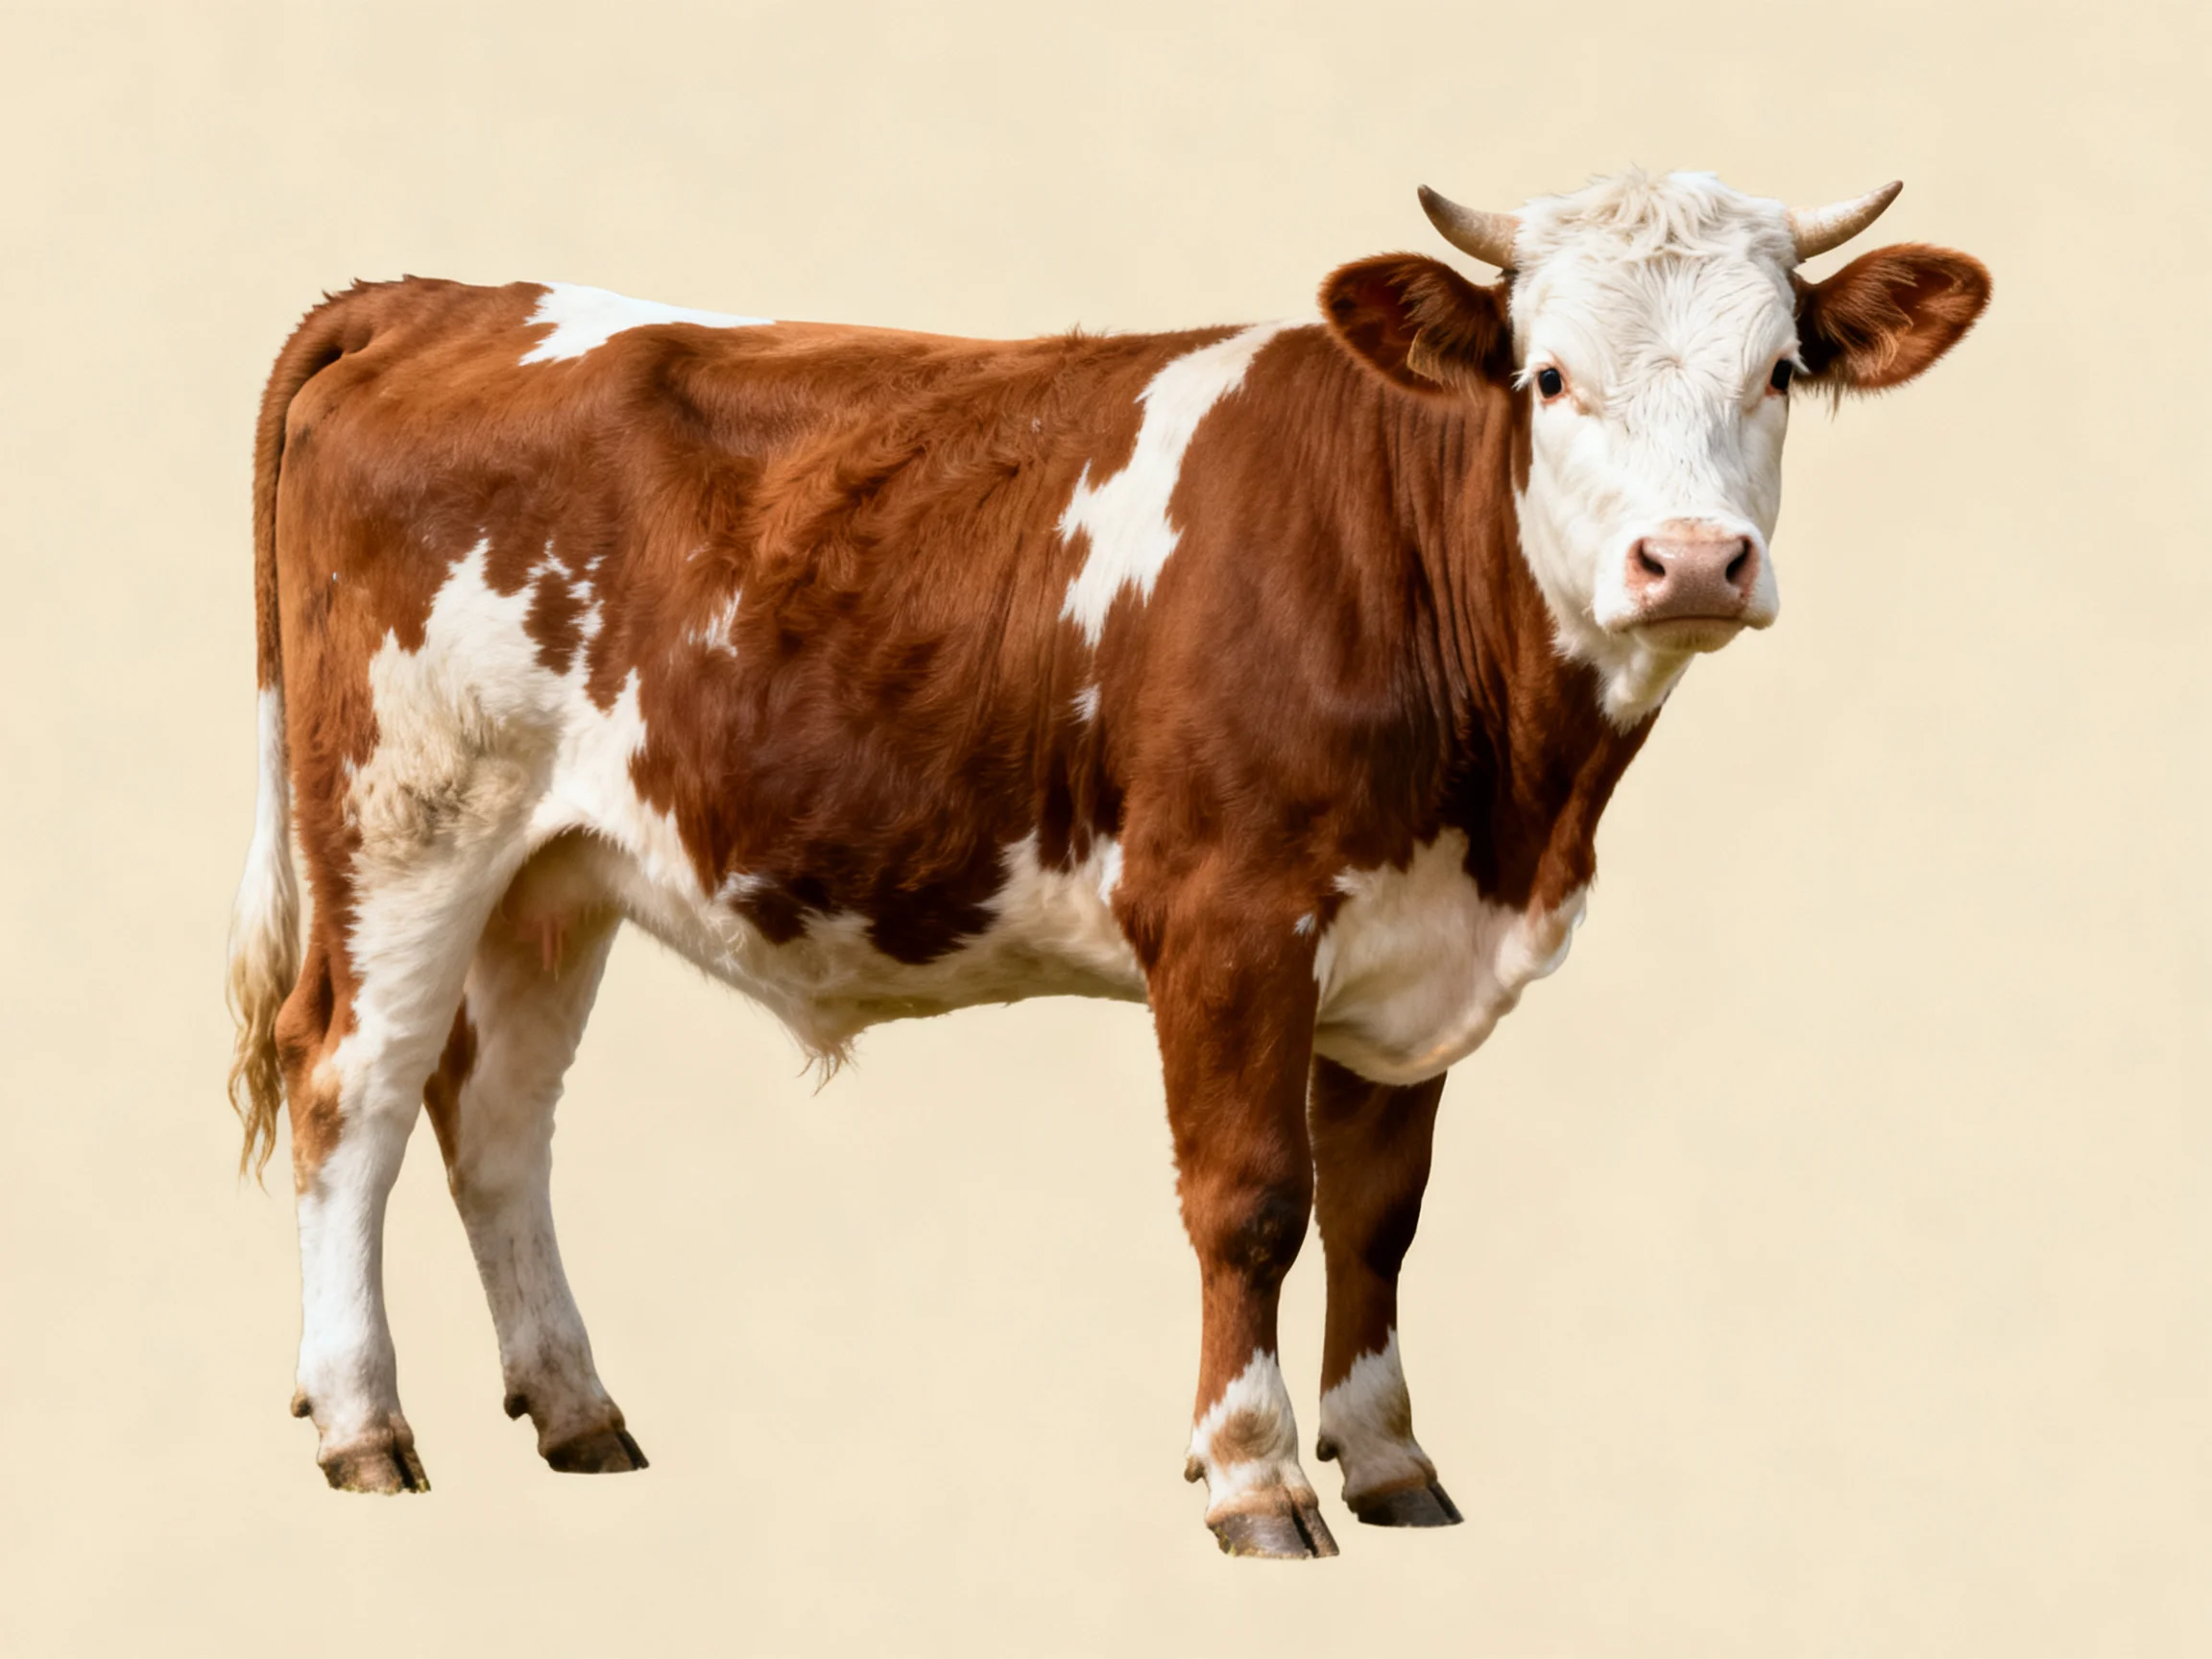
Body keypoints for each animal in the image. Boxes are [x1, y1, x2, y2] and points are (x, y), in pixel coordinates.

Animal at [226, 170, 1988, 1557]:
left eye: (1779, 370)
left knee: (498, 1116)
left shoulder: (1414, 940)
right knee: (349, 1088)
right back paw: (363, 1427)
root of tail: (434, 298)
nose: (1690, 561)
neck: (1515, 808)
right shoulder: (1226, 914)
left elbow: (1381, 1215)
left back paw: (578, 1406)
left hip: (554, 871)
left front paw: (1388, 1458)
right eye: (1547, 377)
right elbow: (1251, 1201)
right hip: (405, 819)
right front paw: (1255, 1477)